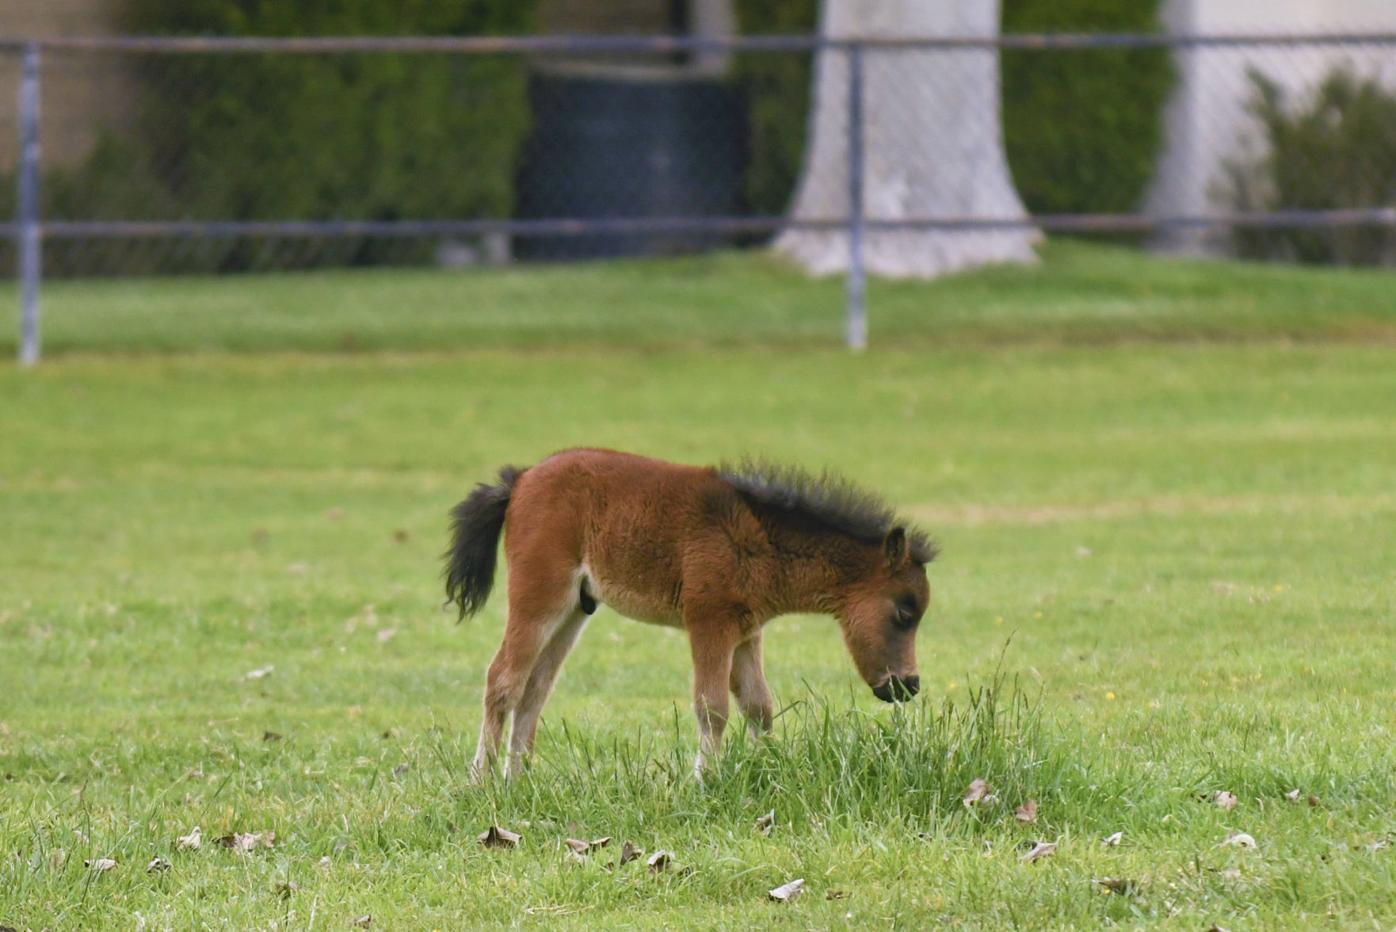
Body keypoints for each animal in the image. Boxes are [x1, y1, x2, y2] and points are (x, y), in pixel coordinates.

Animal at [444, 448, 936, 779]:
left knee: (534, 688)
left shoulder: (746, 632)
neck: (759, 538)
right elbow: (712, 706)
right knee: (503, 679)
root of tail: (521, 480)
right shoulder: (708, 625)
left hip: (573, 612)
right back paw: (482, 782)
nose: (907, 685)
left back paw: (517, 782)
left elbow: (758, 706)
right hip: (539, 599)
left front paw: (768, 769)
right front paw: (704, 781)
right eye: (904, 612)